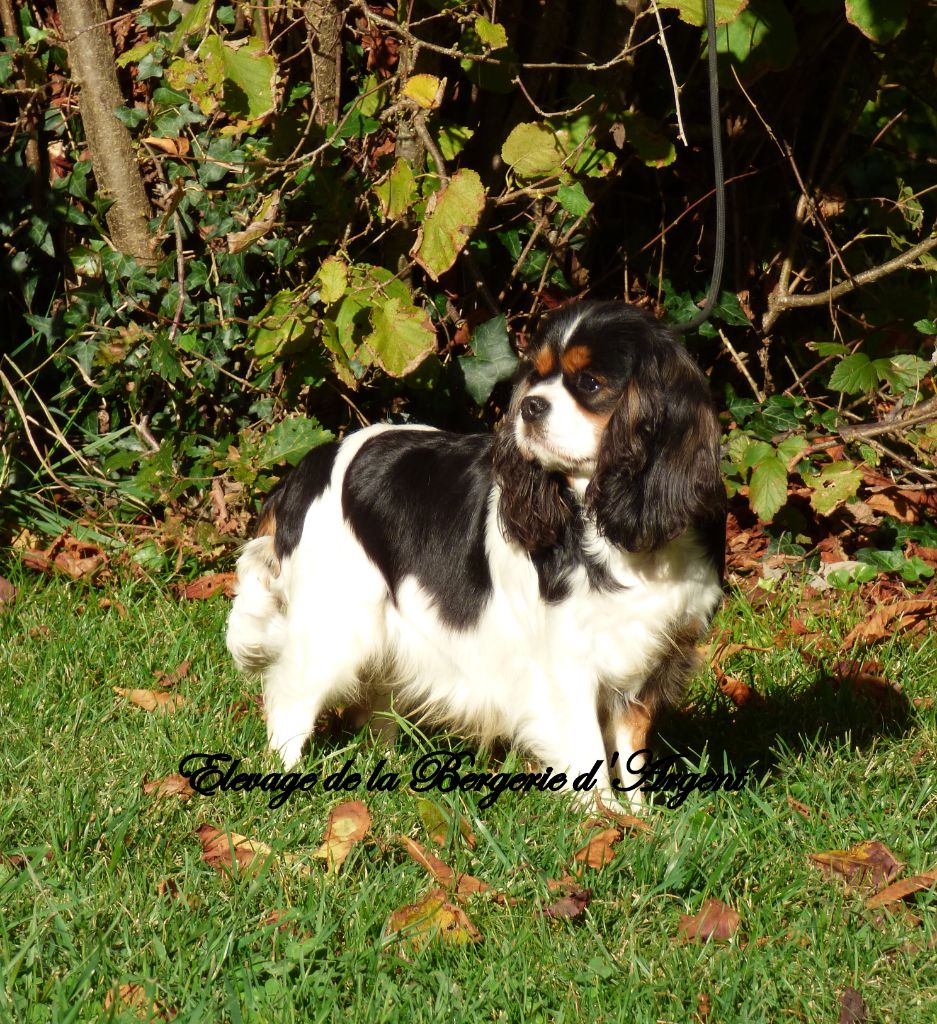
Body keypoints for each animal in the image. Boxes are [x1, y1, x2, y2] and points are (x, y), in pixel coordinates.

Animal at [227, 299, 725, 811]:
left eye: (590, 383)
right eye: (536, 377)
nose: (529, 405)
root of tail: (306, 468)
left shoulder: (650, 659)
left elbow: (631, 751)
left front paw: (640, 818)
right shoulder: (567, 664)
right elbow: (588, 752)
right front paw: (602, 817)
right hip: (337, 625)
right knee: (290, 696)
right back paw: (288, 774)